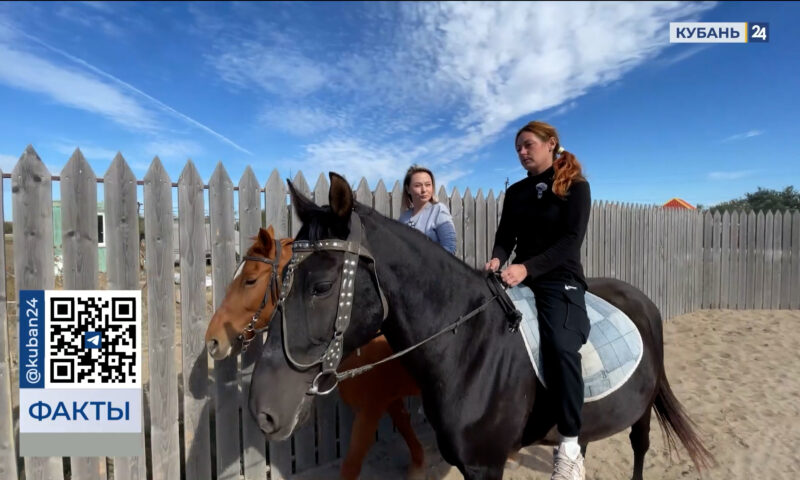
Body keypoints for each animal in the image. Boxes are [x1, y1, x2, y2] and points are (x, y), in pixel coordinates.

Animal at [206, 227, 428, 478]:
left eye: (250, 280)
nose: (212, 340)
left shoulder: (370, 410)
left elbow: (351, 464)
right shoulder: (388, 399)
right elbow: (405, 425)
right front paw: (418, 464)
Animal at [248, 174, 712, 480]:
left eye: (323, 286)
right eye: (280, 277)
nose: (264, 411)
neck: (470, 348)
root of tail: (641, 301)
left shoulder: (485, 465)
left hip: (641, 410)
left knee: (640, 447)